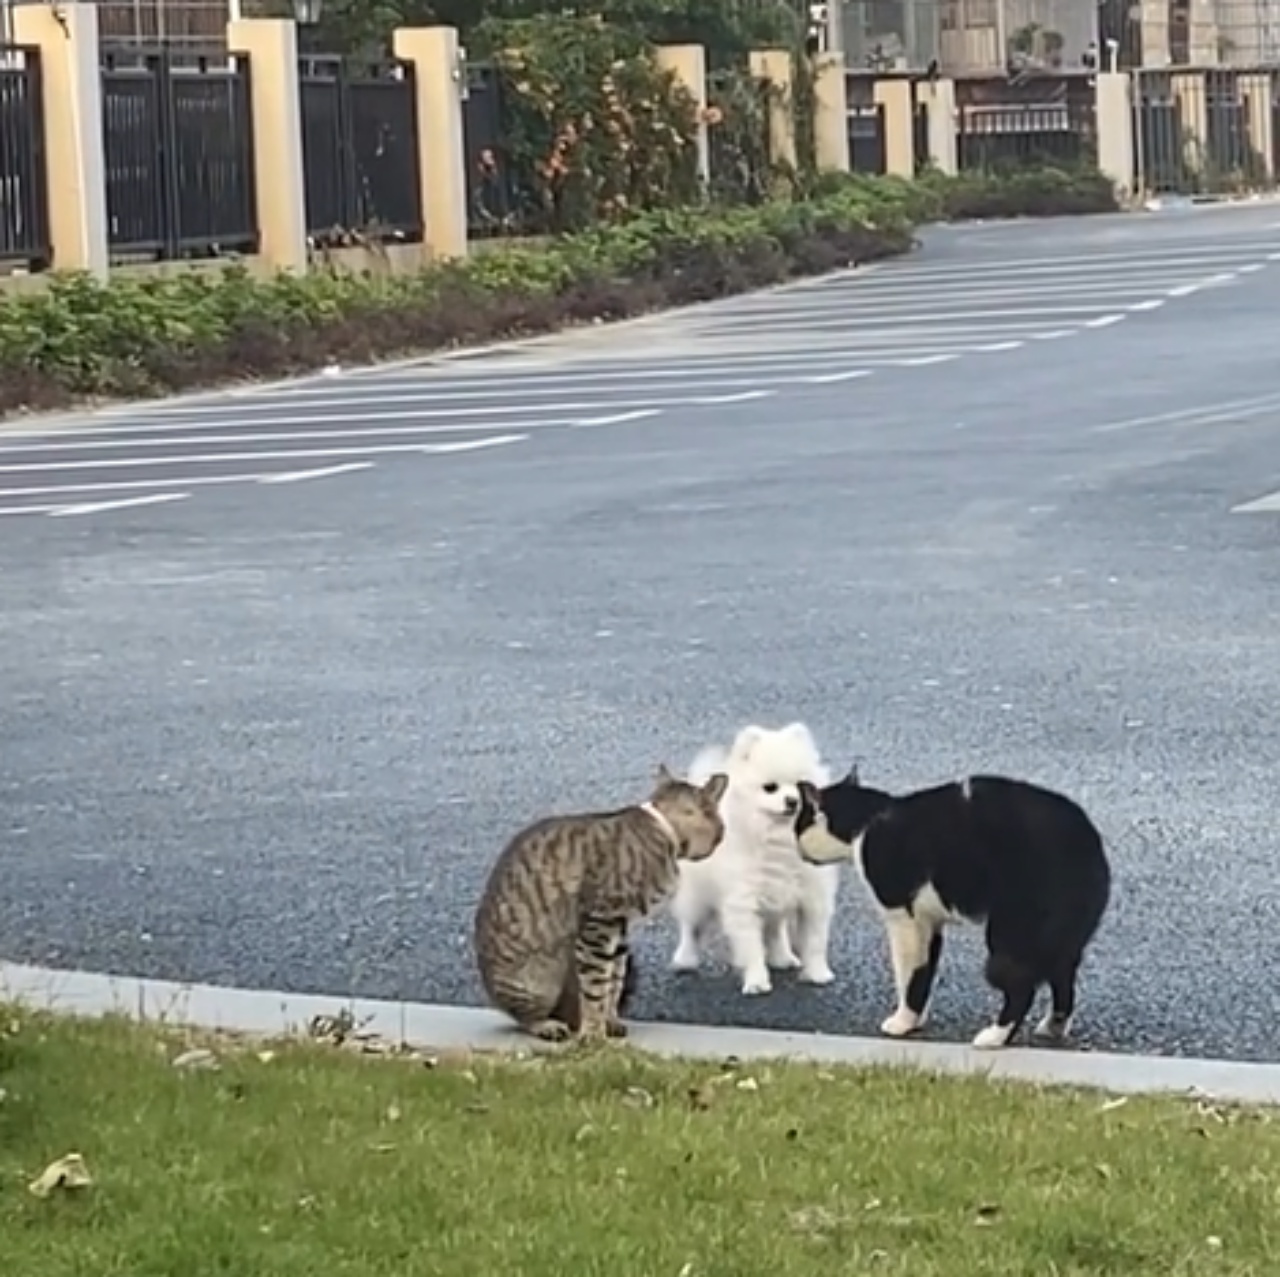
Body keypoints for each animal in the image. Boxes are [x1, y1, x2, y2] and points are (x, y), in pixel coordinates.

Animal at [473, 767, 732, 1039]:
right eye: (720, 829)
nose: (722, 836)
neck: (664, 832)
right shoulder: (598, 925)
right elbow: (595, 987)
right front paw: (593, 1033)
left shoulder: (620, 931)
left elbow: (614, 982)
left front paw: (610, 1020)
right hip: (536, 982)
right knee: (523, 1017)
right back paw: (546, 1025)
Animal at [670, 726, 839, 992]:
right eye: (770, 787)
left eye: (800, 786)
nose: (793, 801)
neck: (778, 837)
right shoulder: (743, 902)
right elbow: (751, 947)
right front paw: (757, 981)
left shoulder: (813, 897)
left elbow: (815, 942)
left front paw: (818, 974)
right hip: (697, 895)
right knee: (690, 926)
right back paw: (684, 959)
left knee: (775, 929)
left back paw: (783, 957)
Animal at [798, 767, 1111, 1049]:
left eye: (798, 824)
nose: (797, 844)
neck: (865, 822)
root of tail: (1087, 839)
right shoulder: (929, 923)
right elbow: (925, 973)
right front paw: (917, 1019)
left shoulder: (903, 921)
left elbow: (908, 976)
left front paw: (903, 1022)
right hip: (1062, 937)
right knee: (1063, 977)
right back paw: (1053, 1027)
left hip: (1011, 934)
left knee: (1022, 990)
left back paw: (994, 1037)